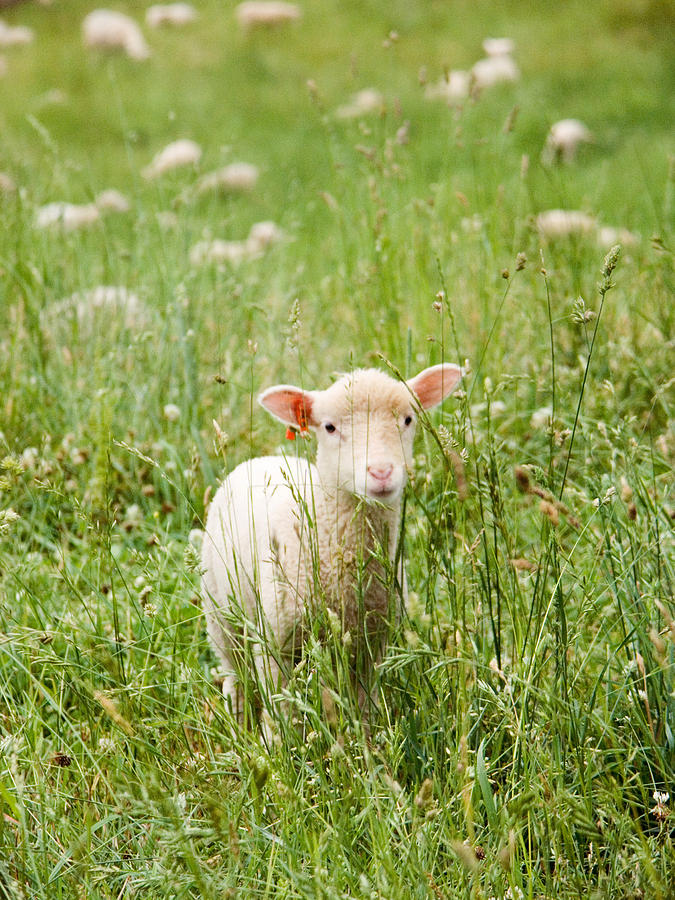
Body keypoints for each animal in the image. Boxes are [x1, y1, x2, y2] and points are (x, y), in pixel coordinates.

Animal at [202, 362, 464, 736]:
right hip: (221, 615)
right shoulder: (275, 641)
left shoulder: (372, 644)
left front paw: (367, 744)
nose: (381, 472)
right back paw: (239, 727)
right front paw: (277, 747)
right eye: (329, 427)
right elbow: (279, 711)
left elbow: (364, 707)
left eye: (408, 419)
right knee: (234, 676)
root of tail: (260, 460)